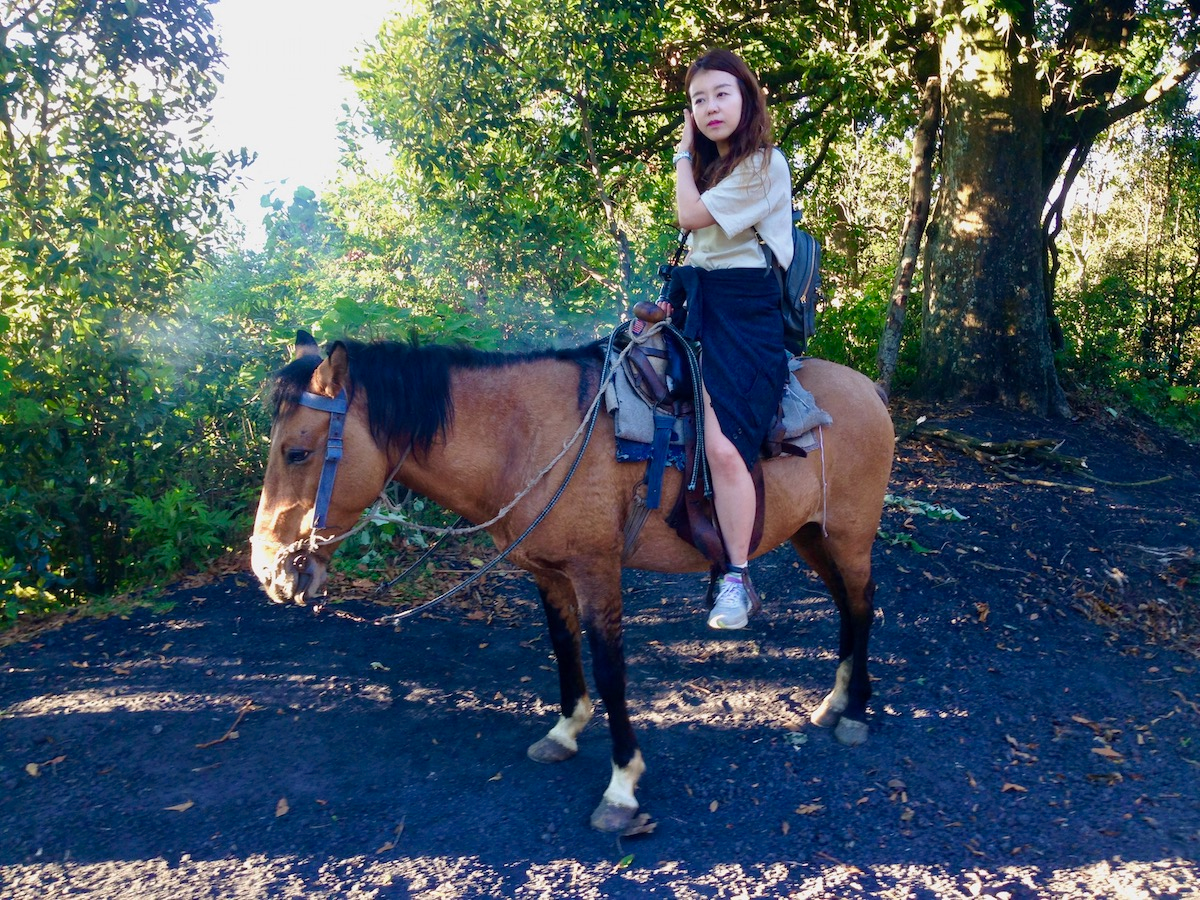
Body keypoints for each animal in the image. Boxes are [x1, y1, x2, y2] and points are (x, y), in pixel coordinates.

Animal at [251, 330, 894, 833]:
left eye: (297, 451)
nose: (268, 569)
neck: (528, 437)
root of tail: (868, 389)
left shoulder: (596, 571)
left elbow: (610, 670)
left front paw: (622, 786)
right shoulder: (548, 573)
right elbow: (564, 648)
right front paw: (564, 731)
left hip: (849, 536)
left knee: (862, 604)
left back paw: (855, 713)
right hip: (811, 535)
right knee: (844, 605)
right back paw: (834, 702)